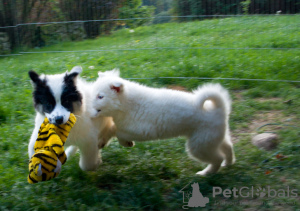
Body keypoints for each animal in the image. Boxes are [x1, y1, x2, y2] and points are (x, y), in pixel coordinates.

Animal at [91, 70, 234, 176]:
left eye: (100, 96)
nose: (87, 107)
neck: (127, 105)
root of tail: (220, 108)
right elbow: (112, 129)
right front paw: (102, 142)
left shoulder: (140, 130)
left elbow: (117, 132)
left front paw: (125, 143)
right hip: (213, 139)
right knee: (228, 147)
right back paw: (228, 163)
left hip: (199, 145)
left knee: (217, 158)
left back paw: (206, 173)